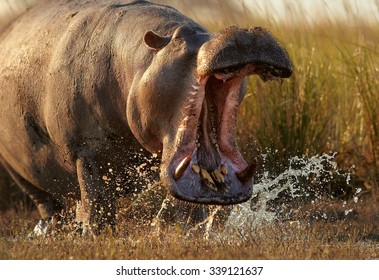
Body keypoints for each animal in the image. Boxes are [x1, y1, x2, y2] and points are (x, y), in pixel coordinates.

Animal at [0, 0, 294, 234]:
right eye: (180, 39)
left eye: (209, 29)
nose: (246, 34)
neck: (138, 59)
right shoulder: (85, 151)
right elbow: (98, 206)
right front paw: (98, 238)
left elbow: (186, 209)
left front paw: (192, 232)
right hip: (21, 174)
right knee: (50, 205)